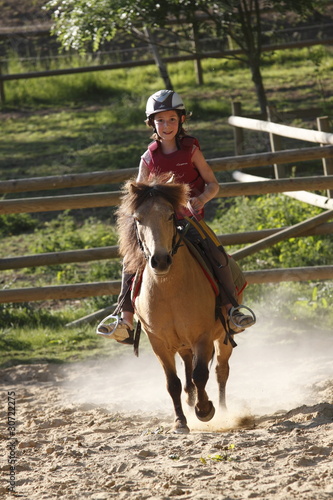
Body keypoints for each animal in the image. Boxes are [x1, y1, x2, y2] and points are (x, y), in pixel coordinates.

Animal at [116, 175, 236, 434]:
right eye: (138, 219)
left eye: (171, 215)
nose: (160, 260)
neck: (169, 290)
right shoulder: (158, 343)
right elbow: (173, 383)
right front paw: (180, 420)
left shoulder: (202, 336)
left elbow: (201, 375)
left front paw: (205, 410)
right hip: (182, 344)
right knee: (189, 372)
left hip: (223, 338)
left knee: (220, 371)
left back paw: (222, 411)